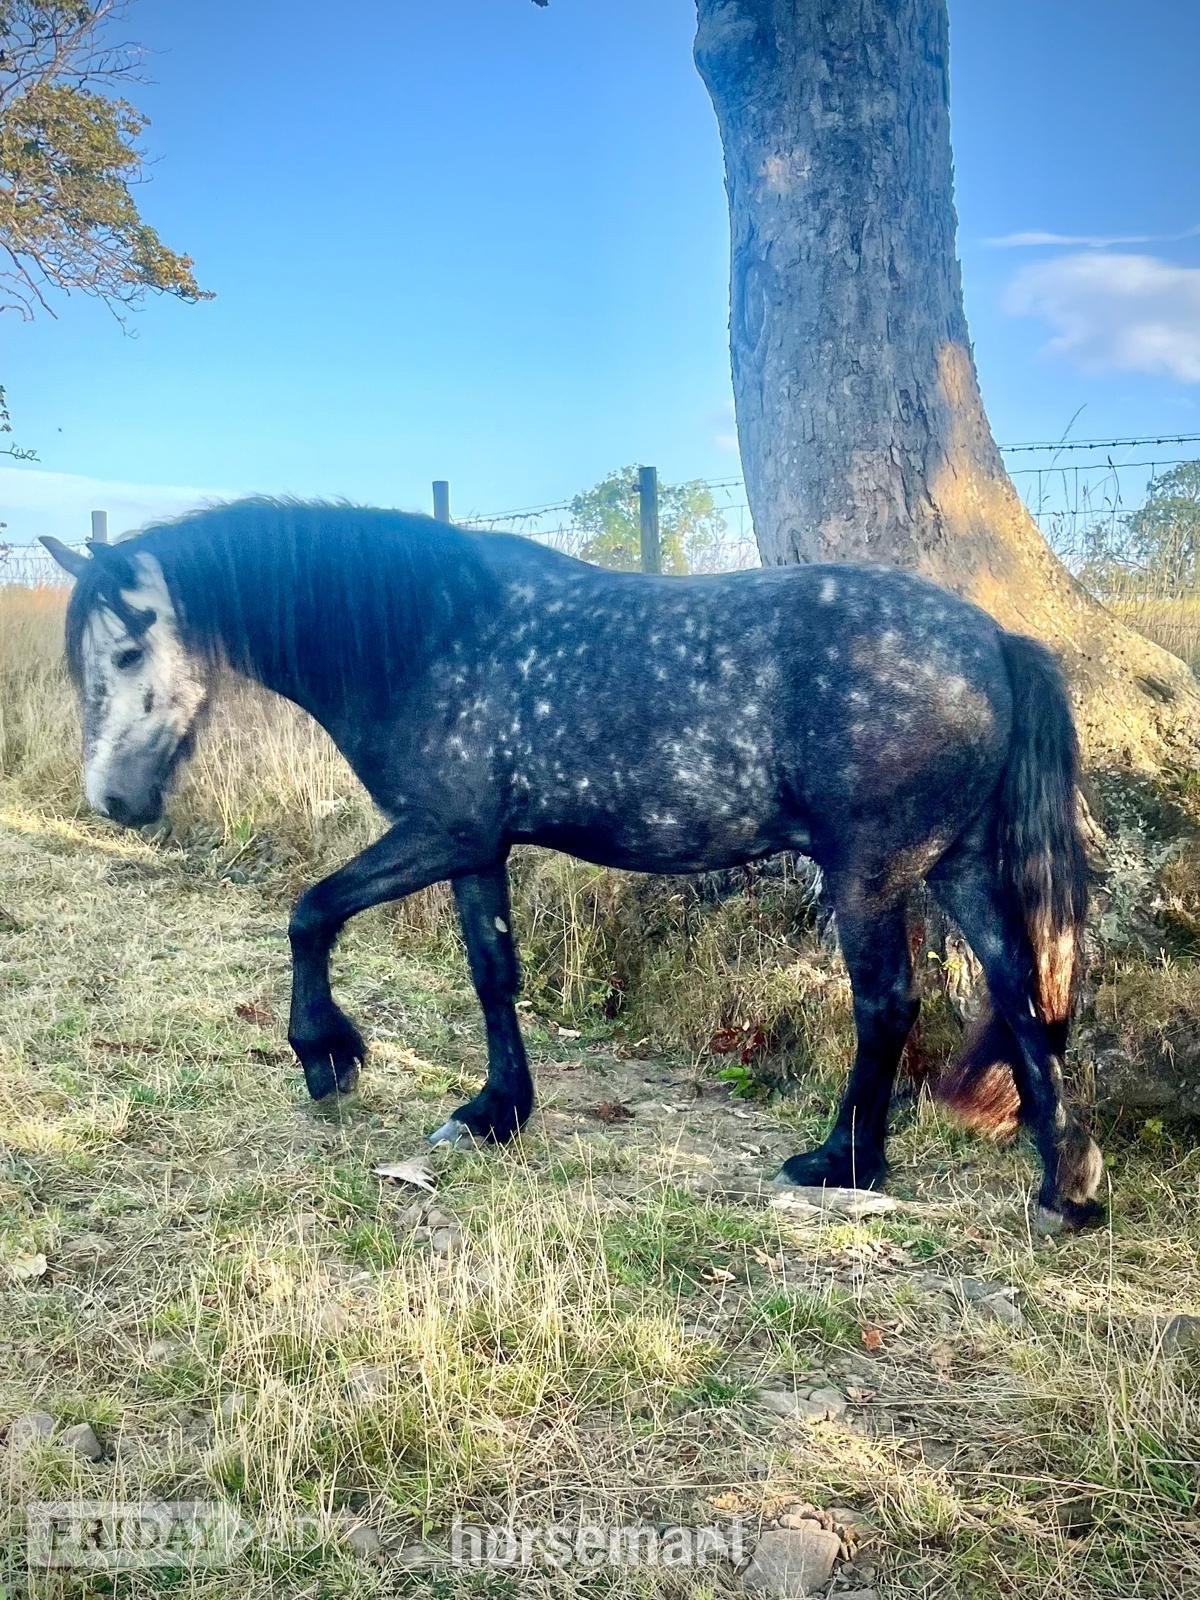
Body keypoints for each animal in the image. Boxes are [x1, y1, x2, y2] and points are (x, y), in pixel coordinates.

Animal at [42, 498, 1104, 1229]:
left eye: (128, 652)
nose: (114, 803)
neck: (432, 633)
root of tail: (991, 640)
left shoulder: (440, 832)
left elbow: (311, 911)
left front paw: (327, 1055)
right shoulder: (477, 849)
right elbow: (491, 972)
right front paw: (494, 1111)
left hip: (871, 874)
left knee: (887, 1004)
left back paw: (842, 1163)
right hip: (954, 865)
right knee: (1020, 991)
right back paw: (1064, 1186)